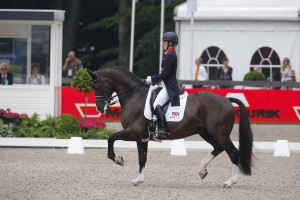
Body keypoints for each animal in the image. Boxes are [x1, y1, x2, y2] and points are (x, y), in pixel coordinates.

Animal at [88, 67, 252, 188]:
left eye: (98, 86)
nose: (99, 108)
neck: (134, 97)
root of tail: (226, 99)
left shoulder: (134, 132)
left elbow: (111, 138)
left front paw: (118, 159)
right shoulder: (142, 137)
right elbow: (142, 158)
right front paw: (138, 180)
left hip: (220, 134)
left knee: (233, 152)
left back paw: (230, 182)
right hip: (205, 132)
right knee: (218, 148)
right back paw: (202, 170)